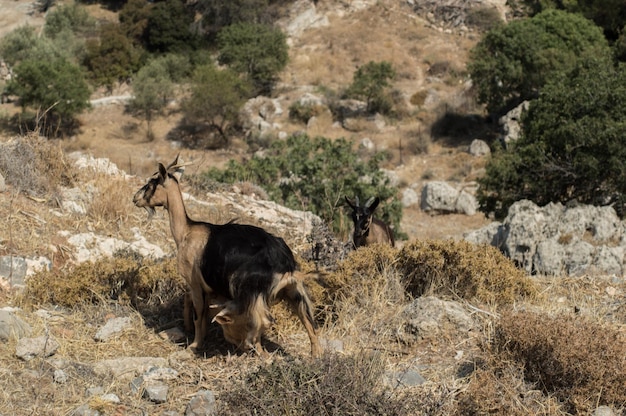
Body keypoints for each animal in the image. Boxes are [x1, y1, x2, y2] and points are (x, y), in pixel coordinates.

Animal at [130, 156, 320, 358]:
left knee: (264, 319)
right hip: (293, 290)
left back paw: (260, 352)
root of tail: (283, 262)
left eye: (152, 183)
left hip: (249, 289)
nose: (135, 199)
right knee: (308, 318)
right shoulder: (210, 289)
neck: (186, 231)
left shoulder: (195, 283)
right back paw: (315, 354)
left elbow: (199, 314)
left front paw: (195, 345)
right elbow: (192, 304)